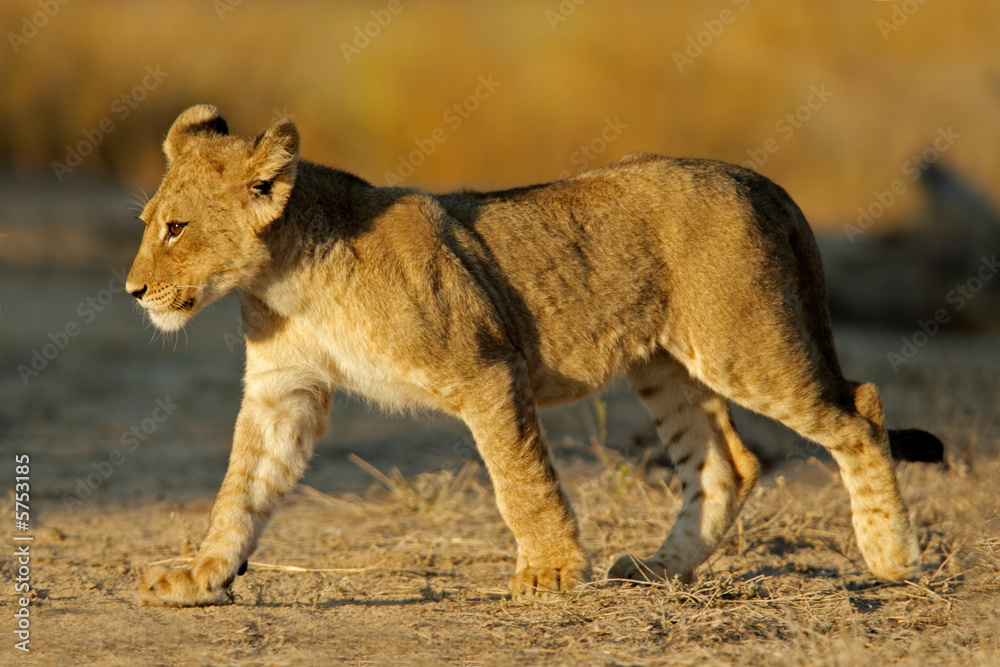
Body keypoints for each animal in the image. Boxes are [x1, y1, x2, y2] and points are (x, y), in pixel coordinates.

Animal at [128, 105, 943, 607]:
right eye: (149, 223)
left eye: (175, 227)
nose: (133, 290)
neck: (287, 276)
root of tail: (758, 178)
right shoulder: (284, 389)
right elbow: (242, 487)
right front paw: (203, 574)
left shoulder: (486, 367)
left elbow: (519, 479)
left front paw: (550, 573)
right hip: (667, 366)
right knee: (725, 463)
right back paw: (655, 569)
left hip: (744, 343)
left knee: (859, 409)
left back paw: (892, 555)